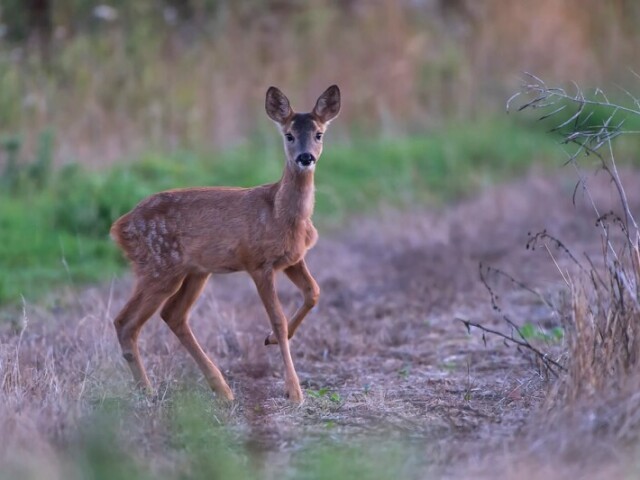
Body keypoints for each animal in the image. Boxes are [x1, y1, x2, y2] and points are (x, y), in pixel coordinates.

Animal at [111, 84, 340, 404]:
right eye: (289, 135)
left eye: (319, 134)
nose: (305, 157)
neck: (279, 212)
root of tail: (119, 227)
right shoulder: (258, 262)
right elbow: (278, 319)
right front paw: (294, 391)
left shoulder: (292, 259)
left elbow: (314, 292)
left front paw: (270, 340)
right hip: (158, 266)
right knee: (126, 322)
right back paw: (149, 391)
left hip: (195, 271)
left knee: (173, 315)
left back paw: (221, 389)